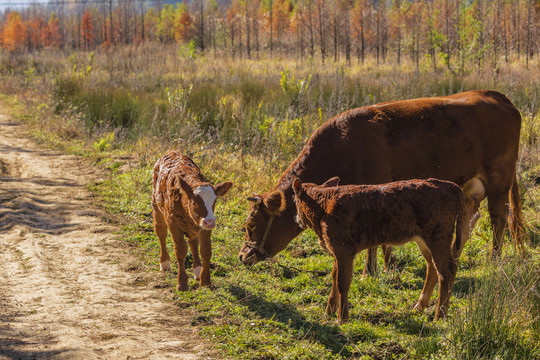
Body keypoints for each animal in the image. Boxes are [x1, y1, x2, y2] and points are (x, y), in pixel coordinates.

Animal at [150, 150, 232, 292]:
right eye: (194, 202)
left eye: (214, 201)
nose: (210, 222)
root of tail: (172, 152)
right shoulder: (173, 223)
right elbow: (180, 250)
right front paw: (182, 283)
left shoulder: (204, 226)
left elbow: (206, 250)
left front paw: (205, 281)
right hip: (157, 207)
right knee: (161, 233)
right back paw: (164, 262)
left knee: (193, 242)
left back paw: (197, 269)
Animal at [239, 88, 524, 272]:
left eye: (251, 224)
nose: (243, 256)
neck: (343, 147)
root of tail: (495, 95)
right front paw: (387, 267)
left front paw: (373, 270)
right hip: (470, 187)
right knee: (468, 220)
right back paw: (456, 254)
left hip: (499, 178)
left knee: (499, 217)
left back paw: (494, 258)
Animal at [292, 176, 468, 320]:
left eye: (295, 201)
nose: (297, 219)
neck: (324, 205)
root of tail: (448, 185)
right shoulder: (337, 251)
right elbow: (335, 279)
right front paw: (328, 313)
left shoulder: (343, 250)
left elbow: (342, 282)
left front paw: (342, 318)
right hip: (424, 240)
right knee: (434, 267)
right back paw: (420, 307)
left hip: (438, 238)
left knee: (446, 272)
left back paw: (439, 315)